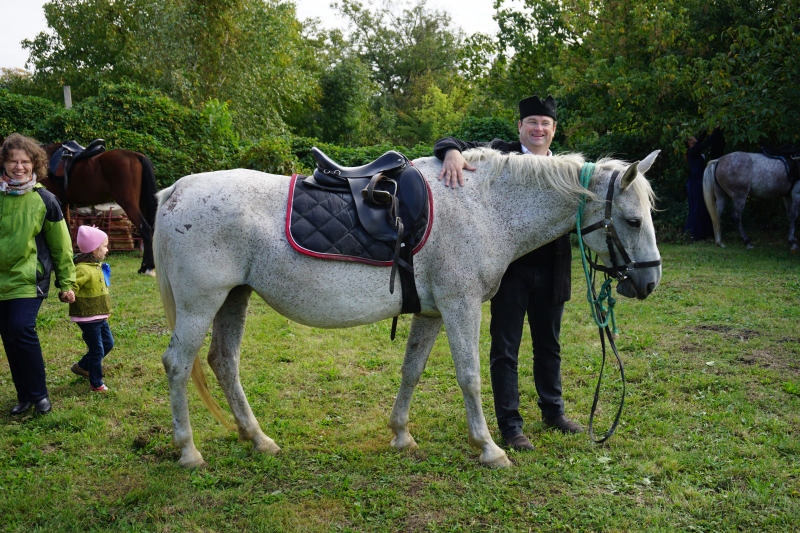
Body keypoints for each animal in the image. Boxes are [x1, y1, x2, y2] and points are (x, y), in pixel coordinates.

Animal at [41, 142, 159, 274]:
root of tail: (136, 155)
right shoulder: (63, 204)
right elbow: (67, 232)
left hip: (128, 203)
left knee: (145, 229)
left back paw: (146, 268)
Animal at [153, 147, 662, 468]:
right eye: (633, 220)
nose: (649, 281)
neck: (483, 207)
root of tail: (174, 192)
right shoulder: (460, 306)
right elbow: (470, 377)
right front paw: (490, 448)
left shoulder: (432, 313)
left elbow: (411, 371)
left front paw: (400, 434)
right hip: (201, 304)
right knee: (178, 364)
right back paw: (189, 452)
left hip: (233, 299)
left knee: (224, 362)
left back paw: (258, 439)